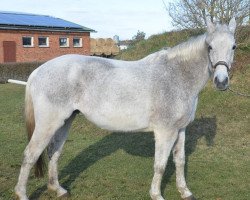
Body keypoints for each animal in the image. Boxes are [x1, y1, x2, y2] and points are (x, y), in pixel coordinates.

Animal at [14, 18, 235, 199]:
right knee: (30, 155)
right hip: (48, 124)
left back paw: (58, 190)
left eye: (233, 46)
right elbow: (160, 165)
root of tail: (37, 71)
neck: (176, 75)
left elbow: (179, 161)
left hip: (65, 121)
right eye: (210, 47)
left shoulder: (180, 129)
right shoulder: (165, 131)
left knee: (54, 153)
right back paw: (22, 193)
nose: (221, 82)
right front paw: (156, 194)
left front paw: (185, 192)